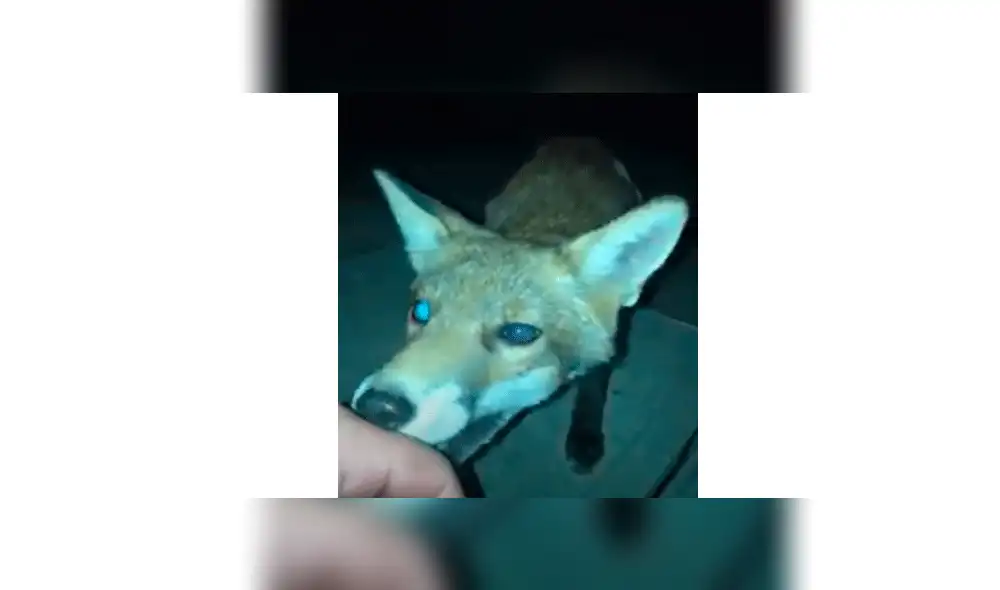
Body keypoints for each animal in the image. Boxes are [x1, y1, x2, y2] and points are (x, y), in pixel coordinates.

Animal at [349, 137, 689, 474]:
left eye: (518, 333)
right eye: (421, 311)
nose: (378, 407)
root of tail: (578, 140)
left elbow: (595, 379)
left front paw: (586, 433)